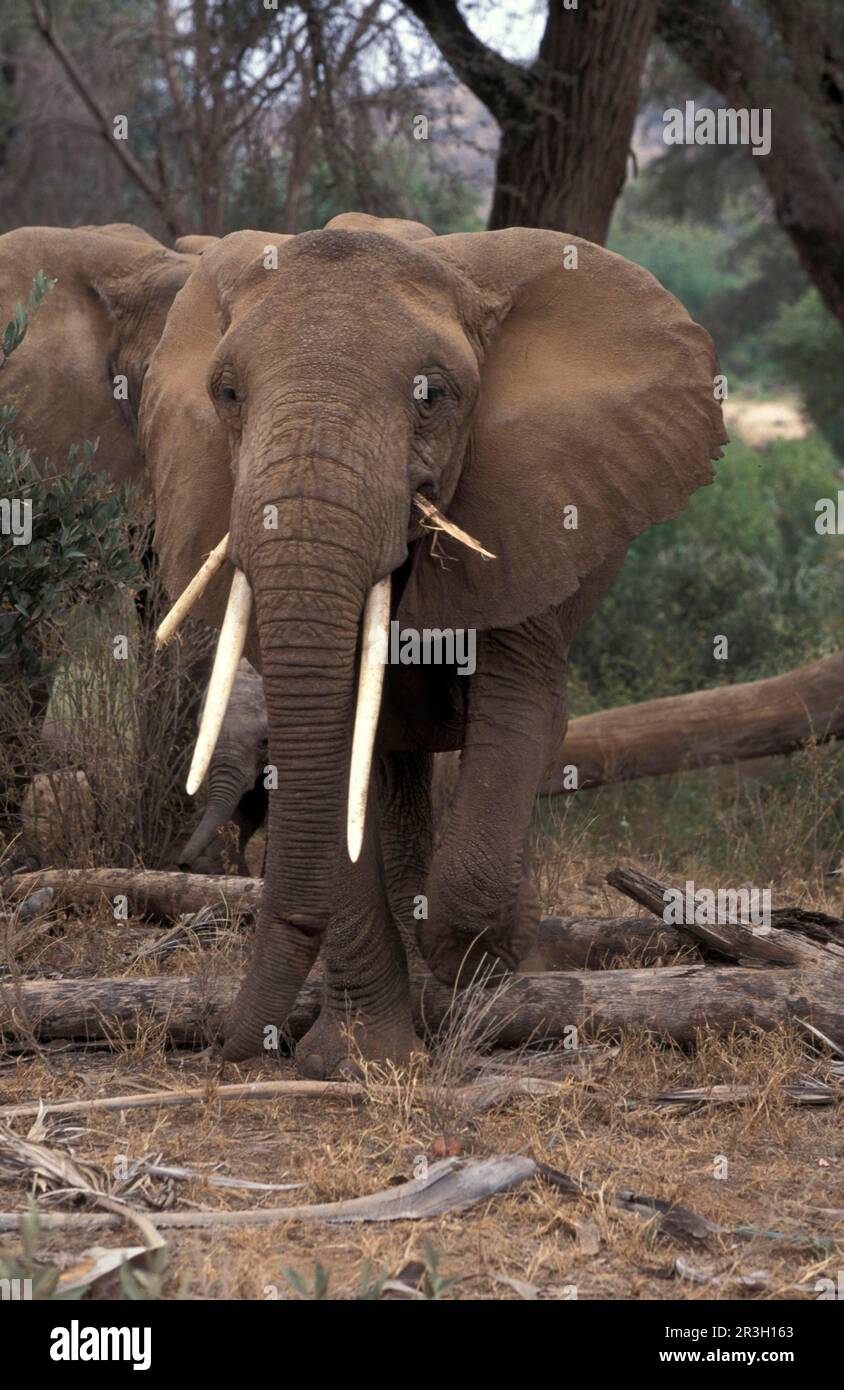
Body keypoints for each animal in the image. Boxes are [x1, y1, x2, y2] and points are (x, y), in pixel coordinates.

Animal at [136, 211, 727, 1077]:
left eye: (433, 395)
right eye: (228, 394)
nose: (224, 1050)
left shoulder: (529, 509)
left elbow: (518, 709)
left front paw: (475, 960)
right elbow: (343, 747)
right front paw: (355, 1061)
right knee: (390, 761)